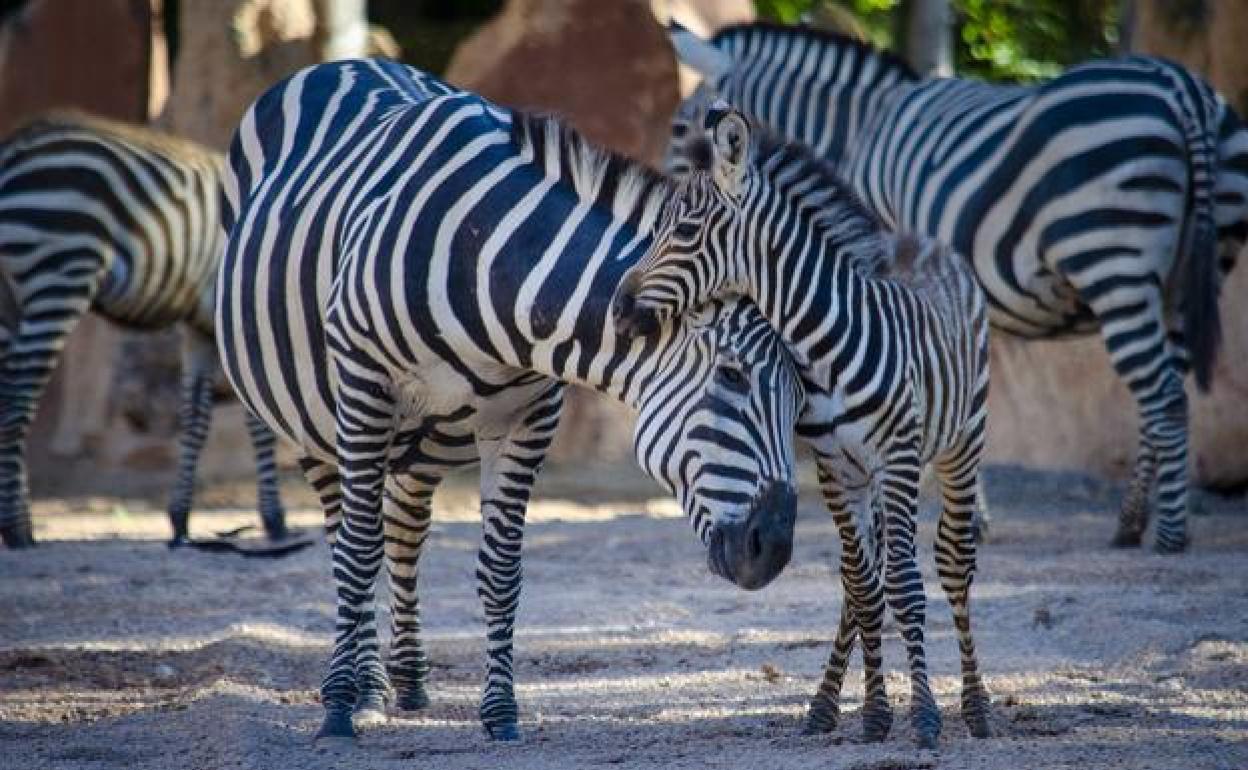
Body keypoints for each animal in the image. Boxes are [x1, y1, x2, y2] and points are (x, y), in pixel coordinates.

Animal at [0, 112, 287, 546]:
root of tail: (15, 150)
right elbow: (258, 423)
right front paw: (273, 518)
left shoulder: (202, 327)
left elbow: (196, 416)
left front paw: (180, 519)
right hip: (61, 269)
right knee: (17, 402)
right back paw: (19, 530)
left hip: (14, 296)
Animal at [219, 59, 803, 743]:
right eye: (733, 377)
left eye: (801, 400)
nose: (774, 552)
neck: (494, 268)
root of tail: (344, 63)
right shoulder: (365, 383)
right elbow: (357, 553)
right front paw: (337, 708)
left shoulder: (529, 415)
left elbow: (500, 569)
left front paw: (501, 713)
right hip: (312, 422)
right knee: (348, 535)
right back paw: (364, 688)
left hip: (427, 435)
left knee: (404, 529)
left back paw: (406, 682)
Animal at [609, 104, 988, 748]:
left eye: (684, 233)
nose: (616, 306)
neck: (824, 342)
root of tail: (923, 238)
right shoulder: (834, 464)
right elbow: (863, 587)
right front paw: (875, 714)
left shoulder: (897, 459)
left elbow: (905, 586)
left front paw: (925, 718)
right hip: (870, 478)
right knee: (863, 577)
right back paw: (830, 705)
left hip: (960, 443)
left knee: (954, 562)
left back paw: (977, 705)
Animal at [663, 22, 1248, 551]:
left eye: (682, 132)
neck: (858, 128)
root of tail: (1183, 90)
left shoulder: (882, 256)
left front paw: (955, 511)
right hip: (1191, 272)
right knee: (1169, 392)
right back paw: (1133, 522)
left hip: (1112, 259)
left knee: (1163, 396)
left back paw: (1169, 534)